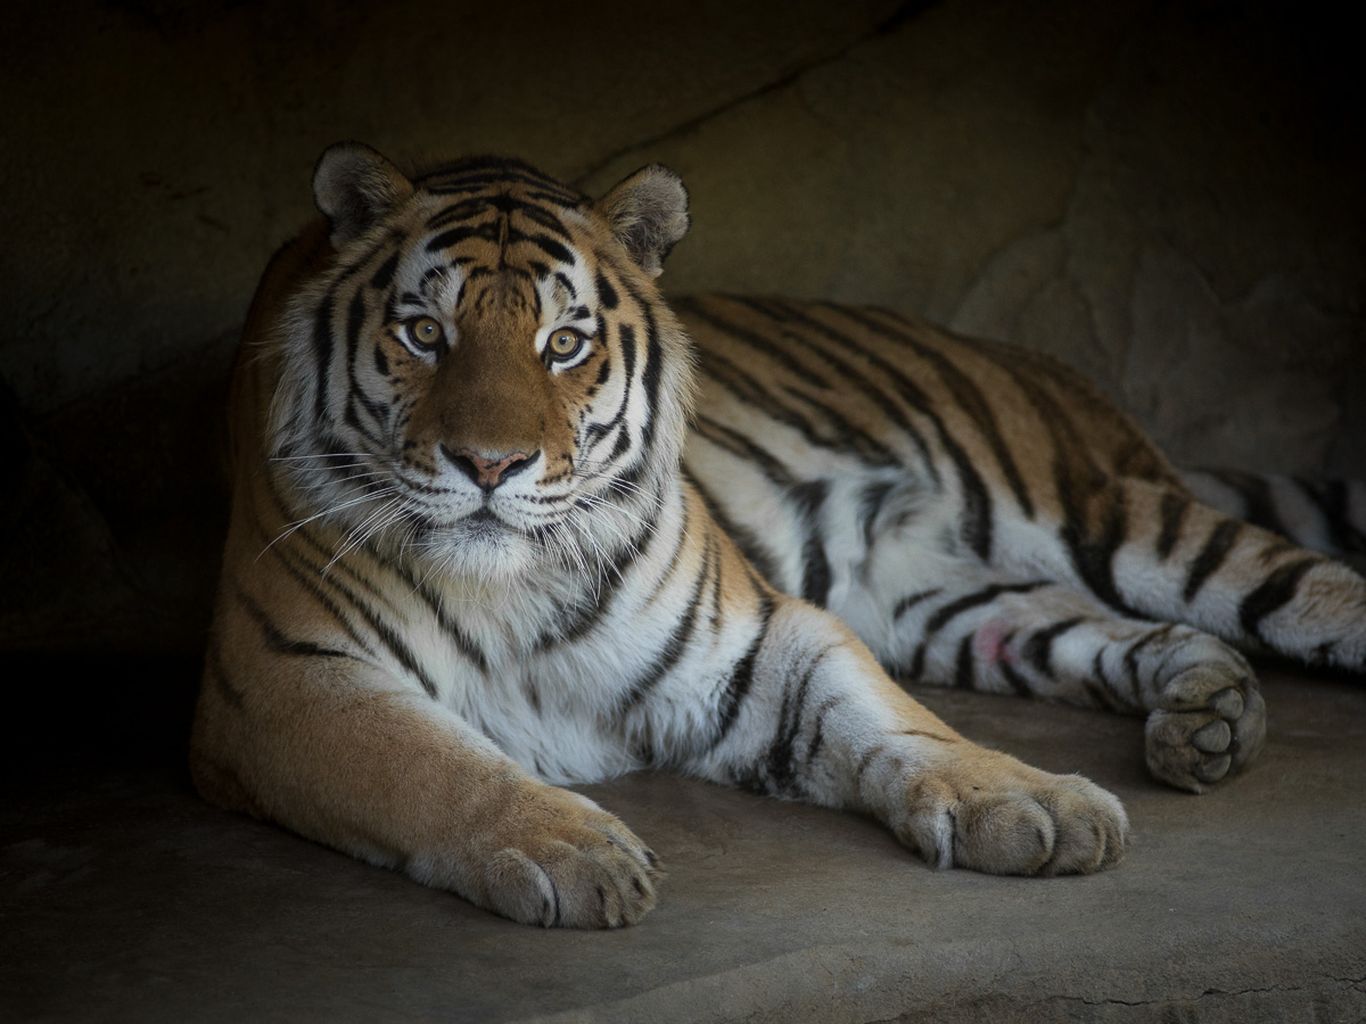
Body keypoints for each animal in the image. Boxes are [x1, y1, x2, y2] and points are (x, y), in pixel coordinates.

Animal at [189, 140, 1366, 933]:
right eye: (423, 332)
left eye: (563, 343)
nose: (490, 466)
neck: (512, 583)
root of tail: (1044, 366)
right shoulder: (282, 678)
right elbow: (430, 764)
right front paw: (577, 848)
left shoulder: (758, 637)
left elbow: (897, 723)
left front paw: (1030, 798)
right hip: (959, 605)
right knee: (1123, 631)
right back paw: (1208, 717)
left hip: (1102, 511)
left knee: (1308, 587)